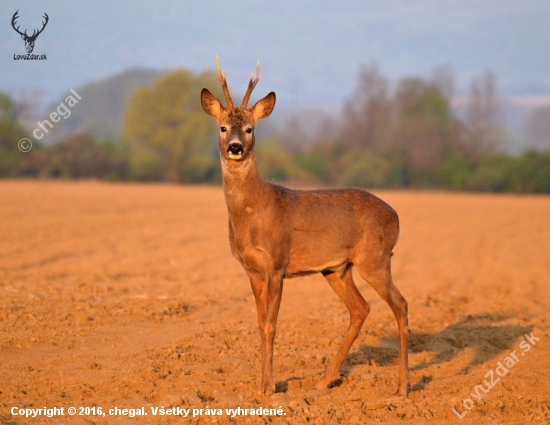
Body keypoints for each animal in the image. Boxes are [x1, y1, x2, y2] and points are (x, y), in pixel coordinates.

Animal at [202, 55, 410, 394]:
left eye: (249, 128)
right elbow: (259, 323)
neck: (254, 211)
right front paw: (261, 385)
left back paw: (402, 387)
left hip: (374, 258)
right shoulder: (252, 268)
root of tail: (396, 217)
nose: (235, 147)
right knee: (361, 309)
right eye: (222, 127)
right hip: (337, 268)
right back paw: (325, 380)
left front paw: (269, 387)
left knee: (400, 305)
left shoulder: (277, 263)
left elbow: (271, 324)